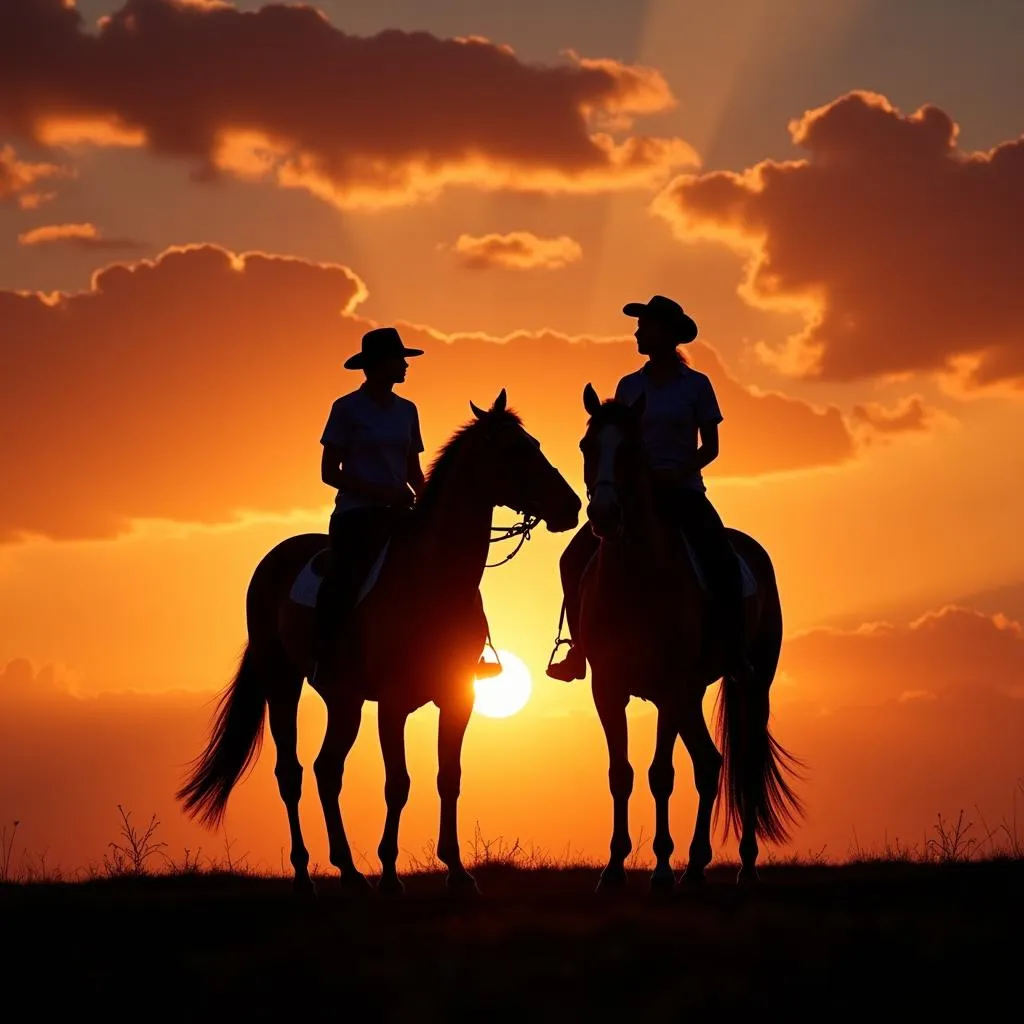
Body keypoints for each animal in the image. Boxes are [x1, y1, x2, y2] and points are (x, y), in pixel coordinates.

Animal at [175, 391, 577, 897]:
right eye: (515, 450)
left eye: (534, 443)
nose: (572, 505)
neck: (432, 580)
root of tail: (273, 559)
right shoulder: (392, 703)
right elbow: (397, 783)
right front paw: (389, 873)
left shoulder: (458, 697)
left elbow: (449, 778)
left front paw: (457, 871)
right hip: (283, 683)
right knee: (292, 773)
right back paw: (305, 874)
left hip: (343, 699)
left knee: (328, 771)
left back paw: (349, 871)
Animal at [577, 385, 798, 888]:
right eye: (587, 447)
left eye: (631, 449)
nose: (604, 515)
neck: (636, 580)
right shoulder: (609, 688)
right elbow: (621, 773)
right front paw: (613, 869)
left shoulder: (668, 688)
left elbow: (661, 773)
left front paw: (660, 869)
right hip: (692, 694)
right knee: (710, 763)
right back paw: (696, 866)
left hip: (752, 684)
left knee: (744, 763)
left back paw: (745, 867)